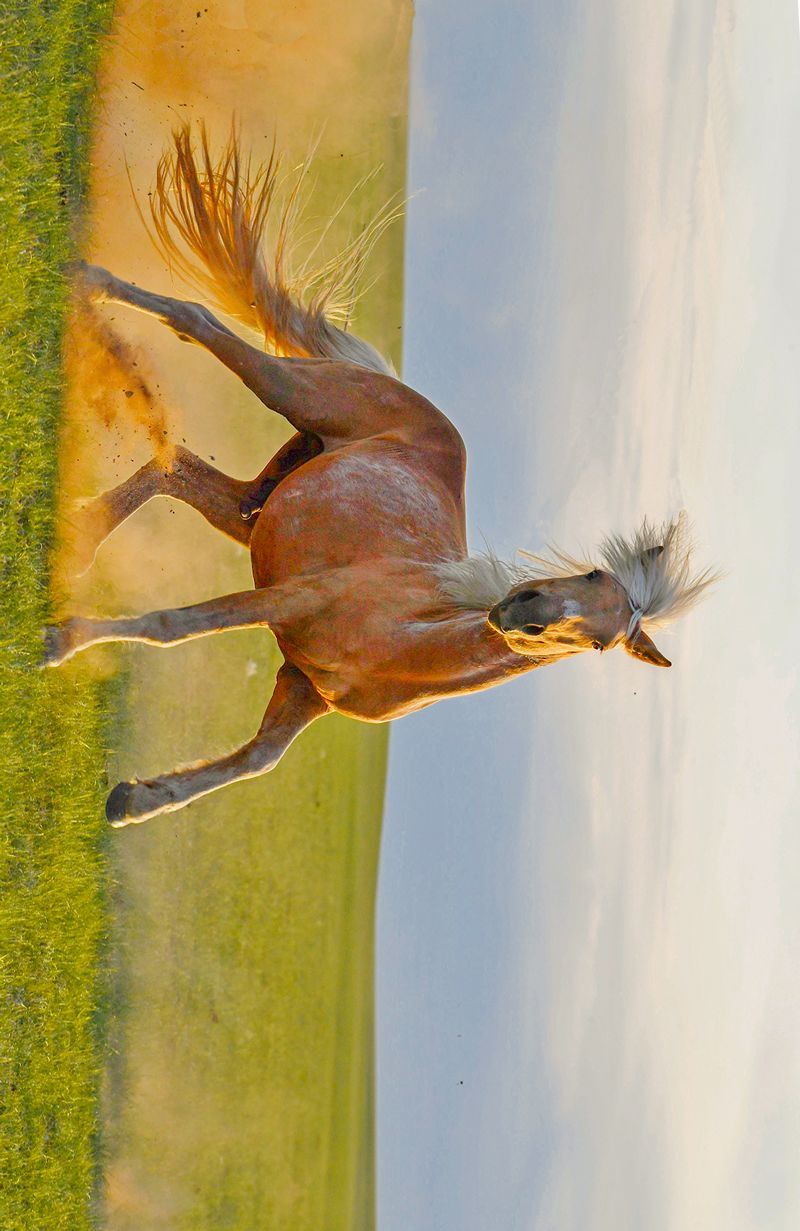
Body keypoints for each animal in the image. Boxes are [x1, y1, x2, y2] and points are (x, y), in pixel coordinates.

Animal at [43, 127, 718, 827]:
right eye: (592, 573)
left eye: (602, 645)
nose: (525, 613)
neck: (403, 642)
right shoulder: (287, 598)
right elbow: (174, 626)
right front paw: (60, 643)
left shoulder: (304, 690)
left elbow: (253, 762)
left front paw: (134, 800)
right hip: (289, 390)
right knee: (194, 319)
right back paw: (86, 282)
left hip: (255, 510)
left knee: (172, 469)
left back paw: (80, 539)